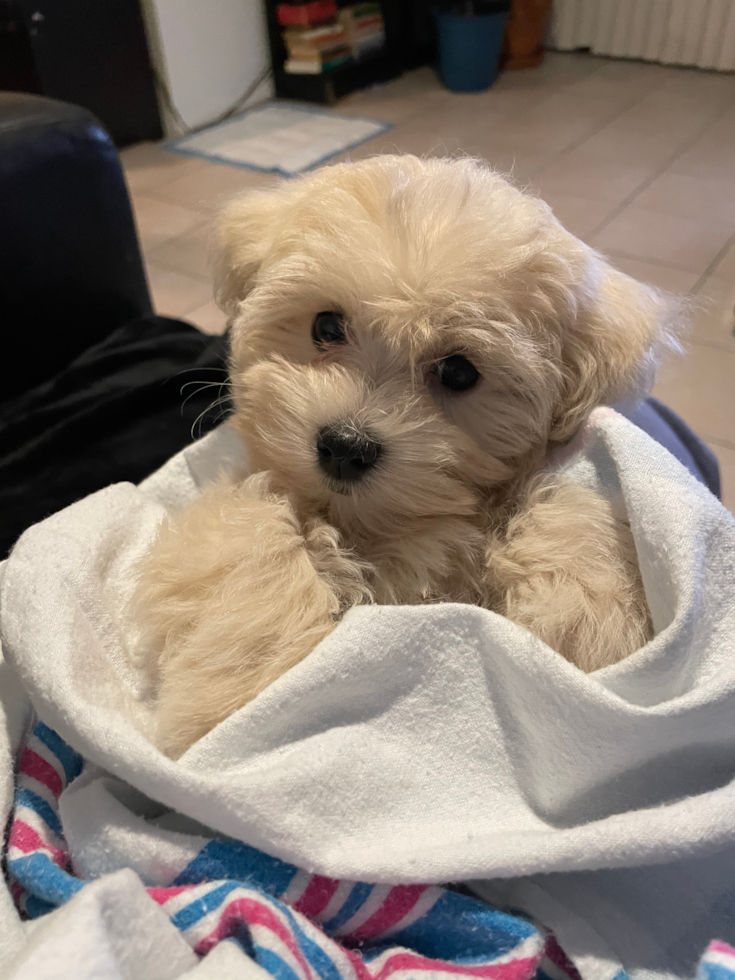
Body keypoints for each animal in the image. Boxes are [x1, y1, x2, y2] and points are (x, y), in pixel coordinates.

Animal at [137, 155, 680, 756]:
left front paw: (587, 615)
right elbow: (251, 537)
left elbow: (566, 507)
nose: (345, 446)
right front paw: (232, 690)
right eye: (326, 325)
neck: (378, 527)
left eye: (459, 372)